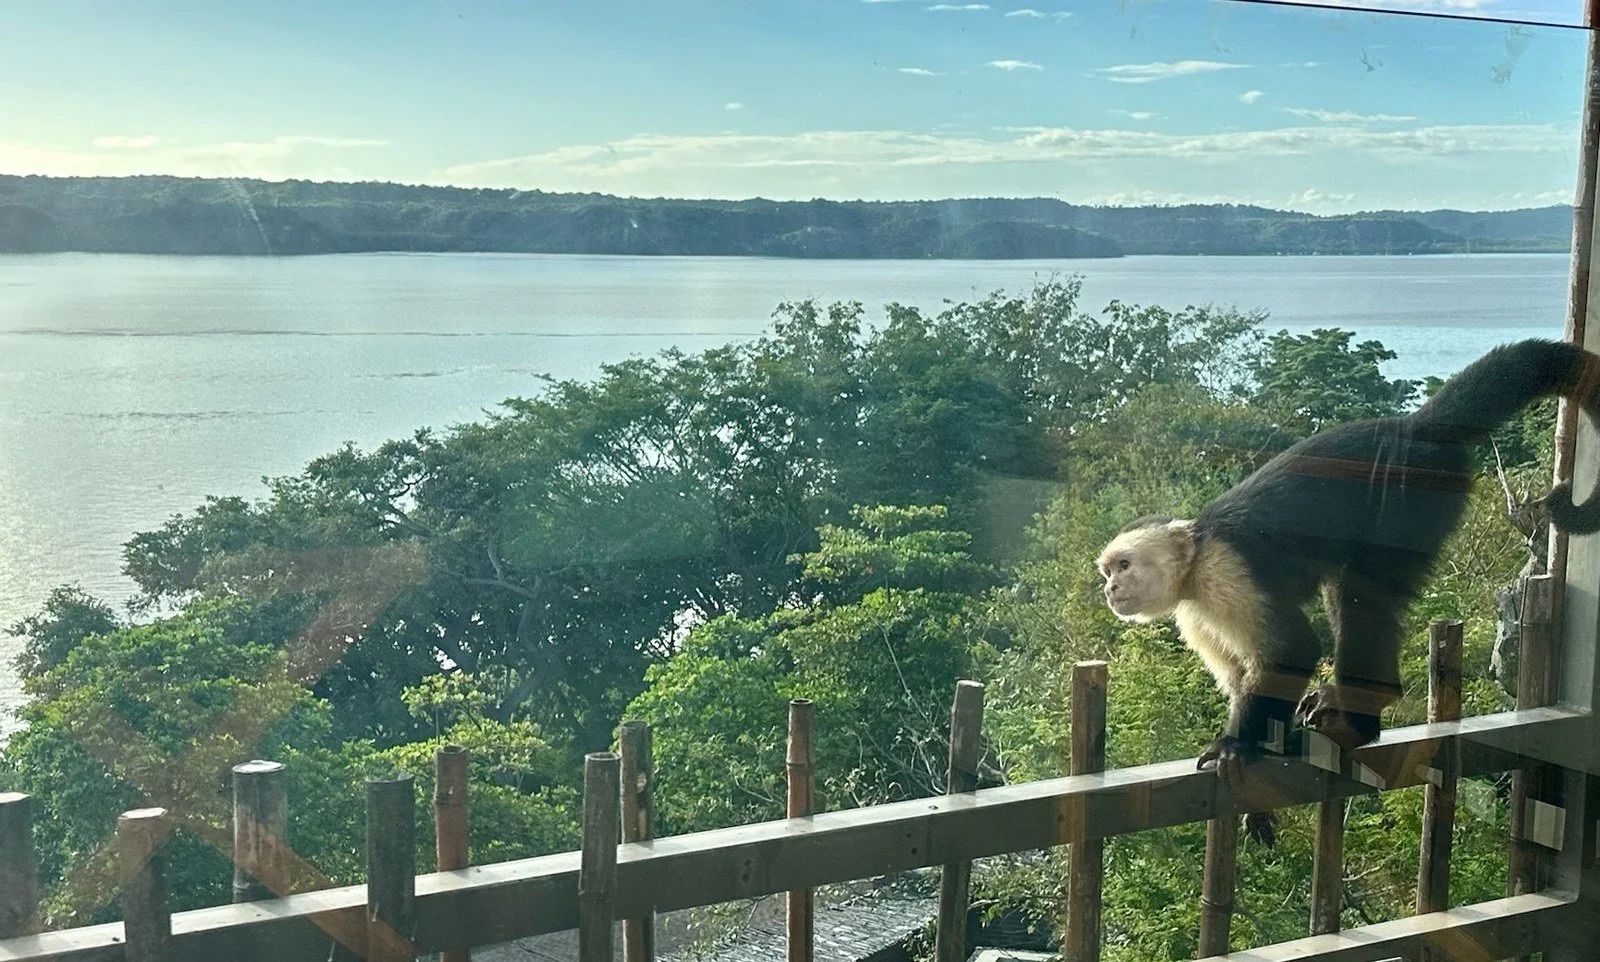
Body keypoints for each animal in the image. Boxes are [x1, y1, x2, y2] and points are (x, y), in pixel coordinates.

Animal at [1094, 339, 1600, 836]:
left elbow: (1293, 650)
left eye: (1124, 565)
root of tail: (1413, 427)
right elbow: (1242, 676)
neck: (1195, 563)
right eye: (1107, 572)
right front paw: (1267, 753)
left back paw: (1360, 717)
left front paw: (1236, 747)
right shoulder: (1193, 611)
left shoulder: (1225, 572)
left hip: (1413, 495)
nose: (1110, 590)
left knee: (1360, 587)